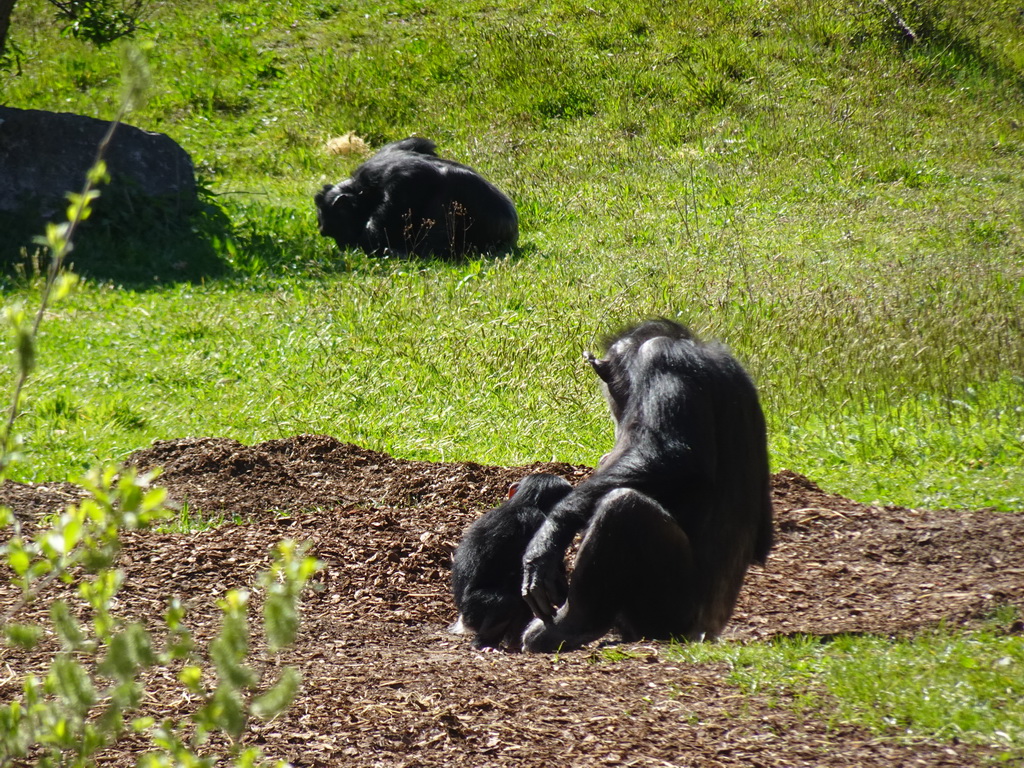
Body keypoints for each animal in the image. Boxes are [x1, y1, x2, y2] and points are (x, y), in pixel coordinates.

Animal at [454, 475, 577, 651]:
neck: (522, 503)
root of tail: (463, 621)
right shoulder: (536, 521)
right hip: (474, 611)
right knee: (506, 603)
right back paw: (484, 643)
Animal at [524, 321, 770, 651]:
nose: (614, 407)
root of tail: (707, 632)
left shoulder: (660, 359)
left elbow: (672, 456)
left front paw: (550, 534)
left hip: (671, 613)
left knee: (624, 508)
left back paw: (568, 626)